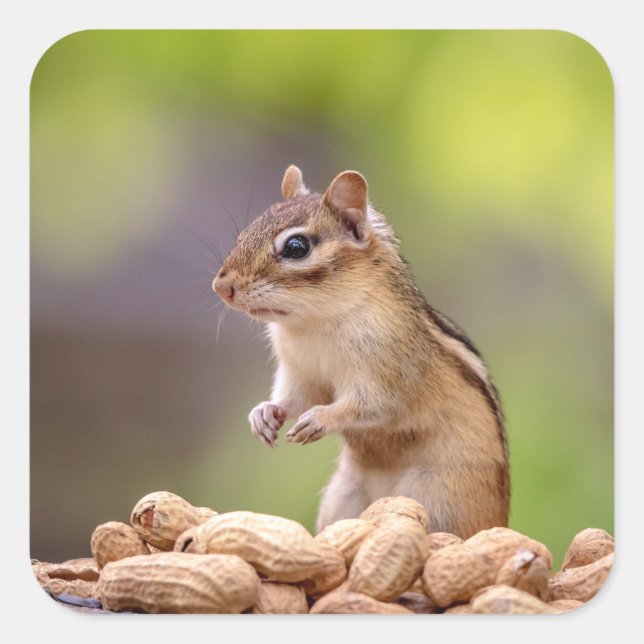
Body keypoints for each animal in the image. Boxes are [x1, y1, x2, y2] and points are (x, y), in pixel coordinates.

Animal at [212, 165, 509, 538]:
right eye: (243, 234)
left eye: (296, 247)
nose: (221, 287)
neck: (314, 323)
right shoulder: (300, 373)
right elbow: (295, 399)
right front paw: (264, 413)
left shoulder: (389, 373)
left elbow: (371, 406)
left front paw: (320, 419)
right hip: (342, 497)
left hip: (439, 499)